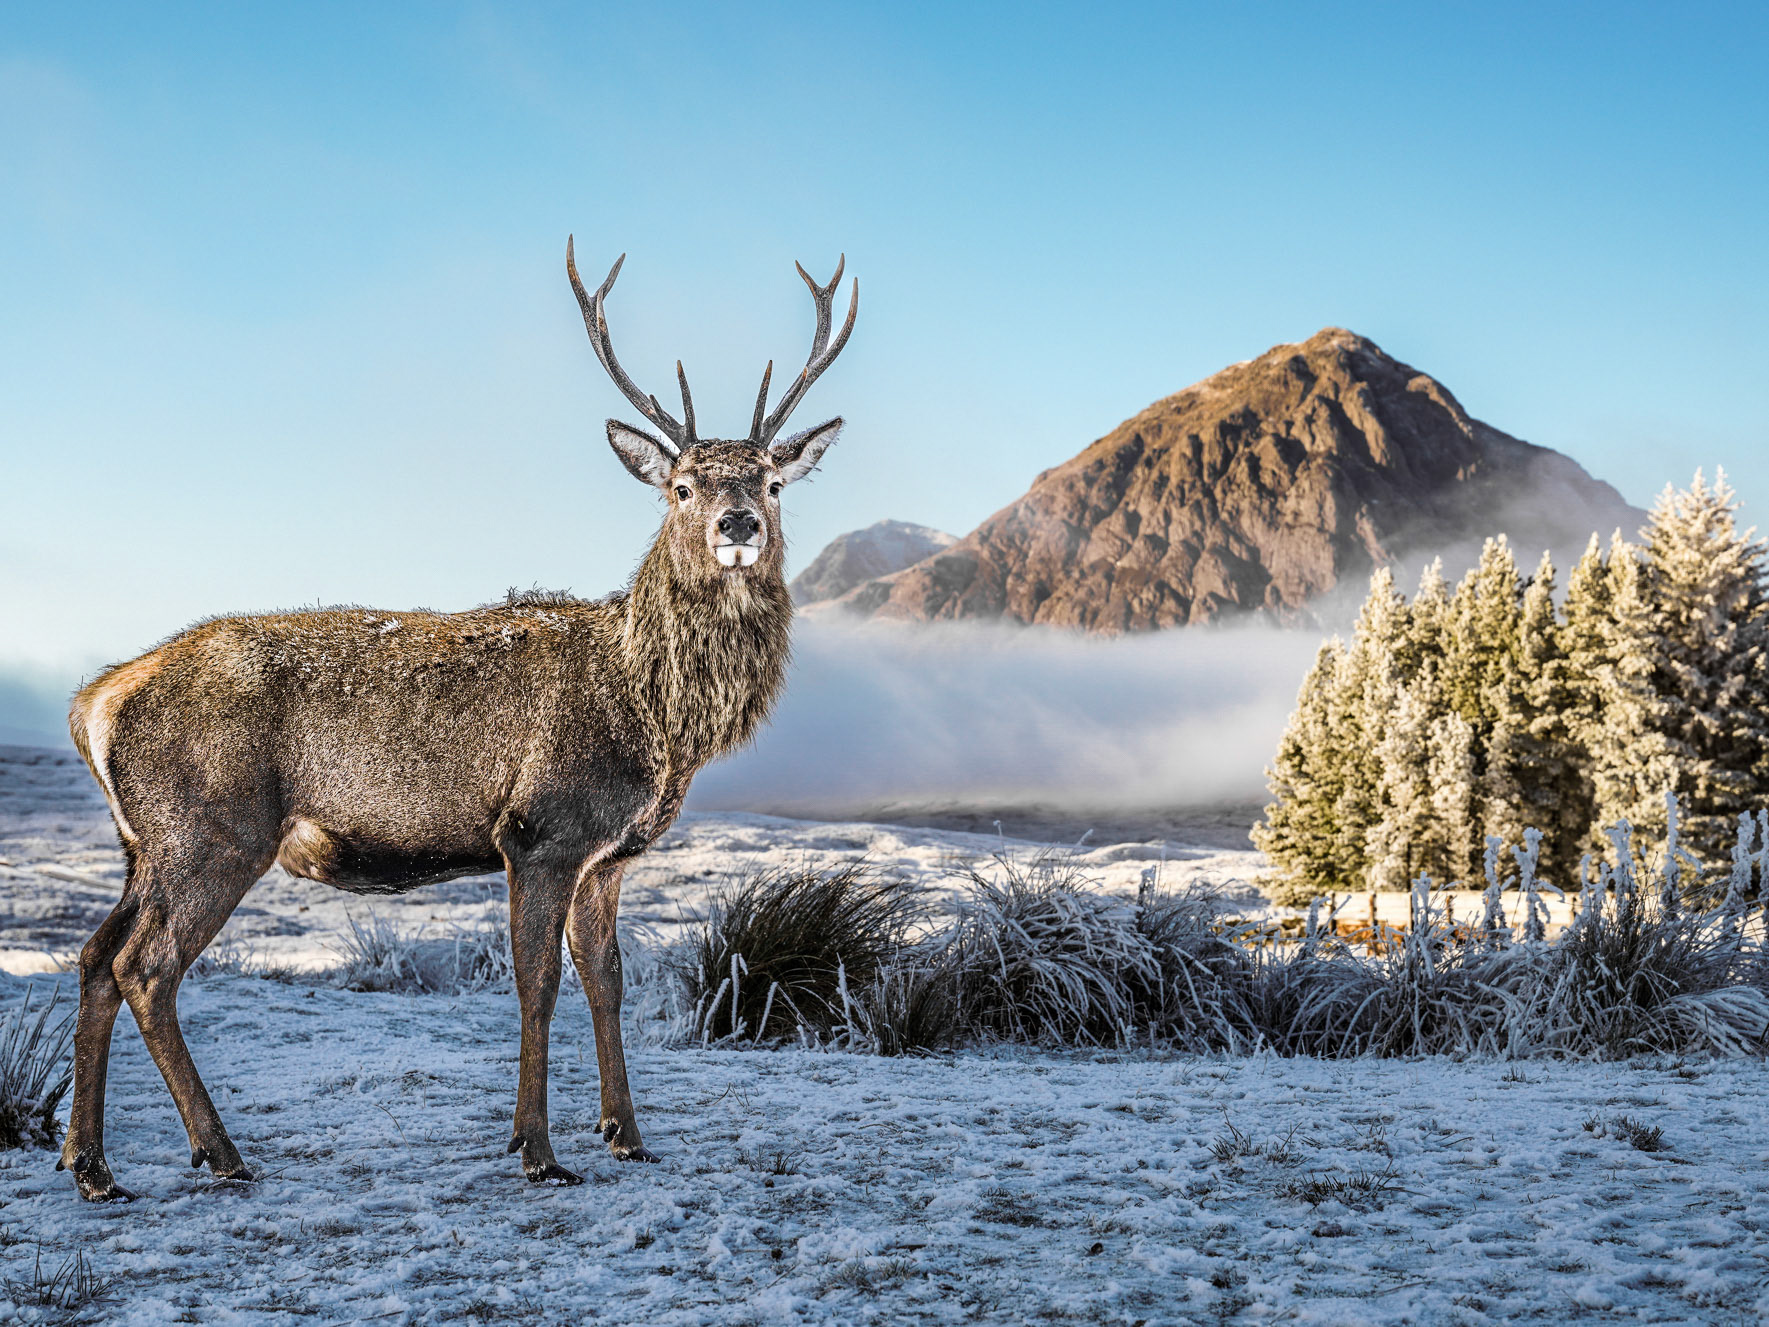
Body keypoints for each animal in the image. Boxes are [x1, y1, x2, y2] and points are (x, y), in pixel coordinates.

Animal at [58, 239, 857, 1201]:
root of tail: (96, 701)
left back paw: (90, 1162)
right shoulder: (540, 828)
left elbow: (608, 981)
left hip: (144, 844)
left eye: (773, 480)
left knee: (94, 957)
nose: (737, 522)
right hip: (213, 826)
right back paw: (219, 1151)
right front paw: (537, 1149)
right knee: (146, 967)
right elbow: (536, 984)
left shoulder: (608, 854)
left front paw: (627, 1134)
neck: (653, 712)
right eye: (680, 485)